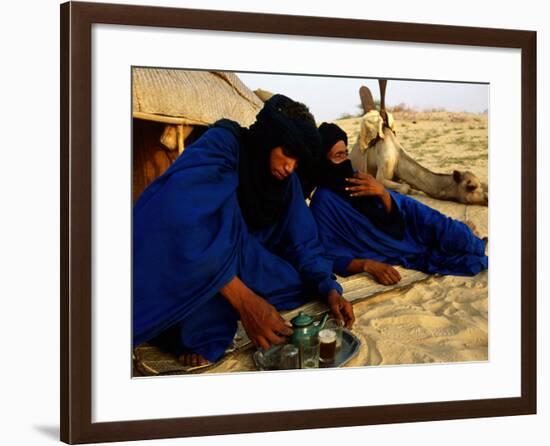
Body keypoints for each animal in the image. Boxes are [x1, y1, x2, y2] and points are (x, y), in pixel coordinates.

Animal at [352, 81, 490, 206]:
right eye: (471, 186)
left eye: (480, 183)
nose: (487, 199)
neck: (398, 158)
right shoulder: (382, 172)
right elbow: (404, 188)